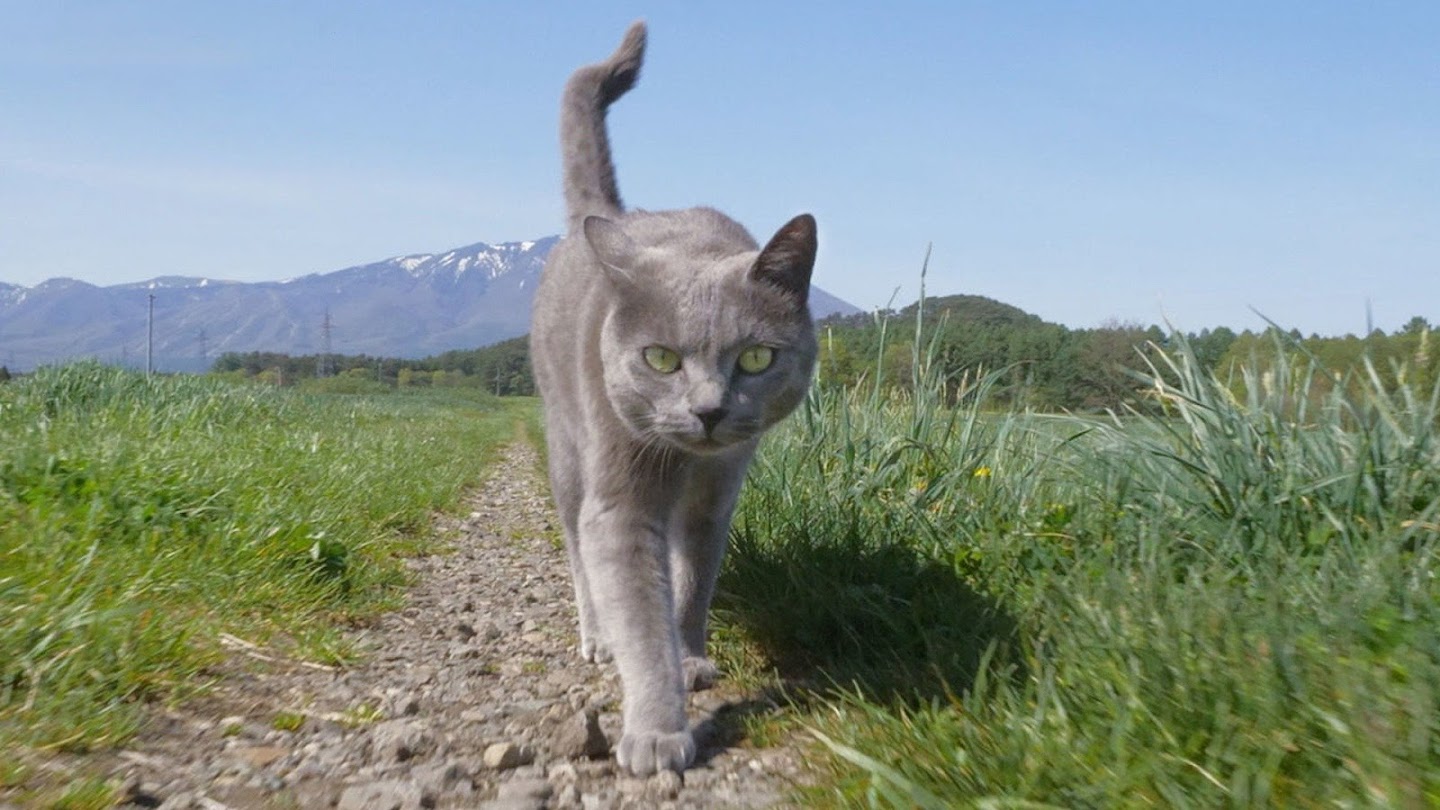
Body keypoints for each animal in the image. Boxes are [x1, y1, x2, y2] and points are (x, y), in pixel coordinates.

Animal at [532, 22, 823, 772]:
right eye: (660, 359)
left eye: (755, 358)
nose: (709, 408)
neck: (687, 463)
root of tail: (606, 215)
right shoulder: (621, 501)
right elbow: (639, 614)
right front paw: (658, 729)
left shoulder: (718, 494)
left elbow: (693, 584)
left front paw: (690, 659)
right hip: (567, 449)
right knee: (577, 548)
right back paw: (596, 636)